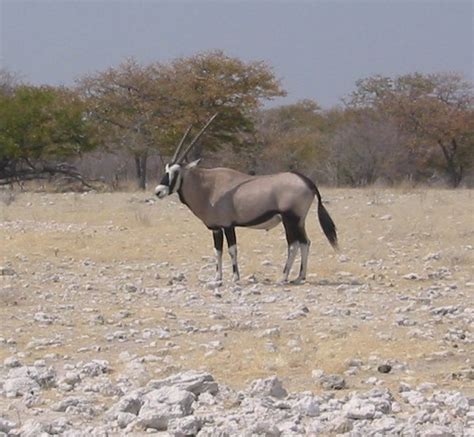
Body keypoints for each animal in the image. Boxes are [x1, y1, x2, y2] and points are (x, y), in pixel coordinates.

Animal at [156, 116, 336, 284]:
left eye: (176, 171)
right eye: (166, 169)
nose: (158, 191)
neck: (207, 187)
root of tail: (307, 181)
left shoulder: (228, 226)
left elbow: (232, 249)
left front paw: (235, 277)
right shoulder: (216, 228)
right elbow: (217, 251)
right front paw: (217, 277)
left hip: (290, 219)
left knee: (293, 245)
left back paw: (283, 277)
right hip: (299, 221)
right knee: (305, 242)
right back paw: (300, 277)